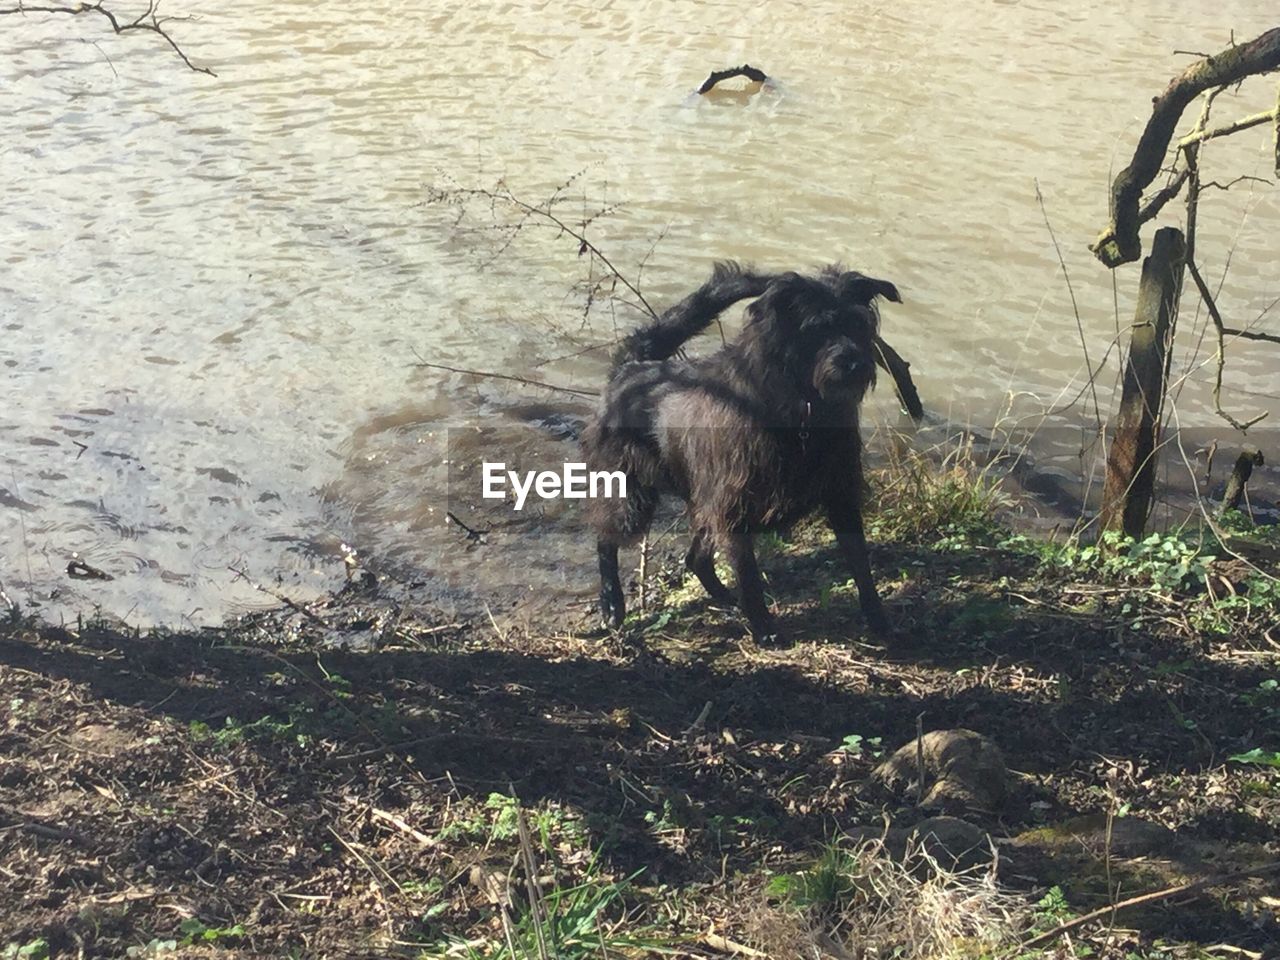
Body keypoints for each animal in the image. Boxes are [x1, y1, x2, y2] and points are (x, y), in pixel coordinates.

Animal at [583, 259, 901, 642]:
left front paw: (879, 620)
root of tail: (631, 367)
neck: (802, 410)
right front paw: (764, 628)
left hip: (700, 496)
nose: (855, 363)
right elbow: (748, 572)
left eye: (857, 324)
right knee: (606, 538)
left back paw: (724, 597)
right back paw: (611, 603)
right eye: (817, 328)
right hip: (631, 492)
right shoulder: (733, 502)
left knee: (696, 558)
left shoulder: (841, 493)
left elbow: (860, 563)